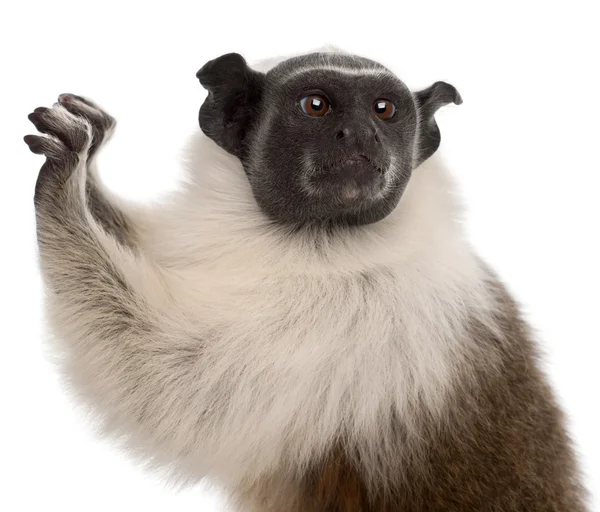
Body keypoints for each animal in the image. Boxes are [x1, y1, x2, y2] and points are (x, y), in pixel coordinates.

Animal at [25, 49, 588, 512]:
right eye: (316, 106)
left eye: (384, 110)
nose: (362, 137)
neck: (324, 240)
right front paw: (90, 161)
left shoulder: (360, 311)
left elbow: (170, 382)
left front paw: (66, 177)